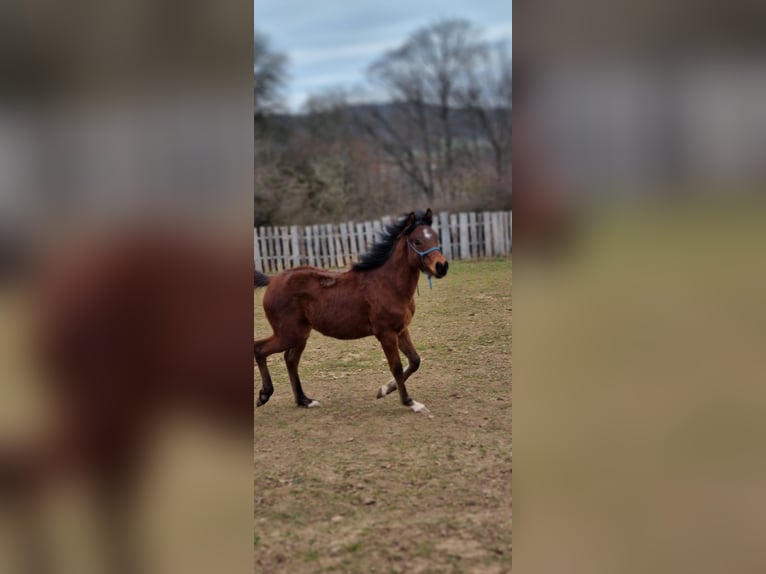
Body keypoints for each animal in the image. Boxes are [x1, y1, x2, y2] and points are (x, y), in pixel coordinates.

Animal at [256, 209, 450, 416]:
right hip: (289, 334)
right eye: (417, 241)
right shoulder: (386, 333)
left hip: (301, 334)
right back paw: (264, 395)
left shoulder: (401, 329)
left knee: (290, 359)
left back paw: (304, 400)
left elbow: (415, 360)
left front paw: (384, 390)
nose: (441, 266)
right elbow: (396, 367)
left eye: (436, 237)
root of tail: (272, 280)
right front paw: (410, 402)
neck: (388, 284)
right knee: (259, 349)